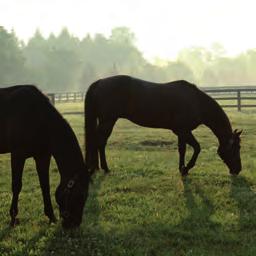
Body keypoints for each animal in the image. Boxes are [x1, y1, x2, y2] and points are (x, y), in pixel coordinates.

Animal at [0, 85, 90, 229]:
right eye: (80, 195)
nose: (74, 224)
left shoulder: (42, 156)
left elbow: (45, 185)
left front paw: (51, 217)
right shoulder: (17, 154)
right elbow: (16, 185)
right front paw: (13, 218)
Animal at [84, 75, 242, 177]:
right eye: (236, 148)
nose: (238, 170)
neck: (196, 102)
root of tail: (99, 82)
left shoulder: (181, 132)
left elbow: (182, 150)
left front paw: (181, 168)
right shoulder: (184, 131)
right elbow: (197, 148)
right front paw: (186, 168)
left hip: (106, 121)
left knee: (99, 142)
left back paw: (98, 168)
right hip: (107, 120)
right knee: (99, 142)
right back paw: (104, 169)